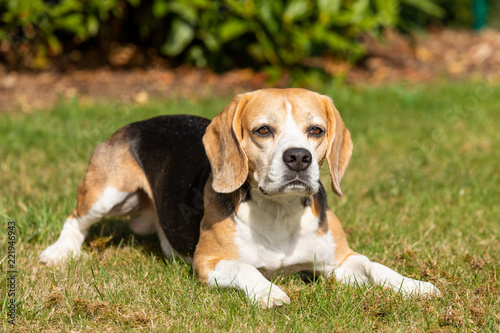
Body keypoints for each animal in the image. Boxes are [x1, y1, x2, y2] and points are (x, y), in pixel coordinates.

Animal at [39, 87, 440, 306]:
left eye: (316, 131)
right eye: (263, 130)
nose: (298, 157)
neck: (279, 212)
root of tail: (137, 123)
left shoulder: (340, 262)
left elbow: (375, 266)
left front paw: (414, 286)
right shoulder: (209, 263)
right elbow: (245, 267)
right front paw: (269, 293)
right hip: (109, 193)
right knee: (75, 219)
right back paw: (59, 252)